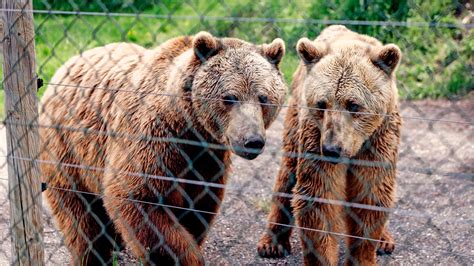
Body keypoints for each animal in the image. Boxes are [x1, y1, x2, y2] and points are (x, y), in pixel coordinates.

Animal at [39, 31, 286, 264]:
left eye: (263, 98)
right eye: (229, 97)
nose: (252, 141)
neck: (189, 127)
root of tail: (65, 65)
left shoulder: (207, 158)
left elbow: (199, 206)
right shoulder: (153, 139)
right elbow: (140, 199)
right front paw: (187, 257)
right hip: (67, 148)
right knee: (78, 213)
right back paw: (93, 254)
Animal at [258, 25, 402, 264]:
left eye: (353, 105)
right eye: (322, 104)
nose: (332, 150)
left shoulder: (378, 140)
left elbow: (371, 196)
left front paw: (364, 255)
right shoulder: (315, 136)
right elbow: (318, 200)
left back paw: (385, 240)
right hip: (295, 119)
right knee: (287, 173)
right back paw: (272, 243)